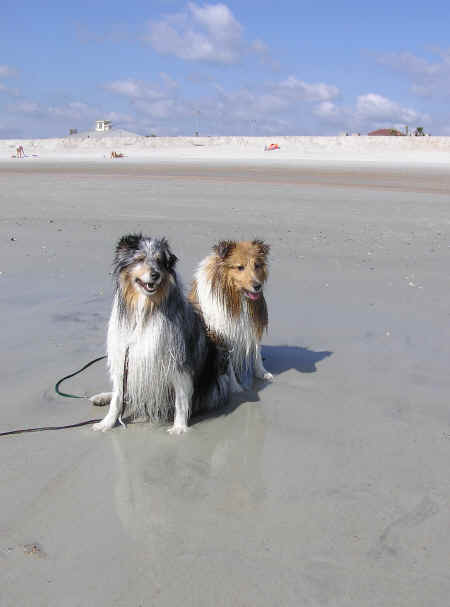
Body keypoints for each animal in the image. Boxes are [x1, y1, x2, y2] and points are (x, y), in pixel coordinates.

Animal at [93, 235, 230, 434]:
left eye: (159, 261)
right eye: (140, 259)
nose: (155, 274)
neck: (145, 308)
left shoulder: (177, 360)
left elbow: (181, 399)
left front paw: (179, 427)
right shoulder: (123, 356)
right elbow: (118, 396)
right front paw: (107, 422)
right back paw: (103, 397)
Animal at [189, 240, 272, 392]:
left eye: (257, 265)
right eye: (240, 267)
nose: (257, 286)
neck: (236, 298)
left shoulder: (253, 323)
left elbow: (257, 350)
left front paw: (262, 373)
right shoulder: (225, 333)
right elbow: (229, 364)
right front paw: (235, 387)